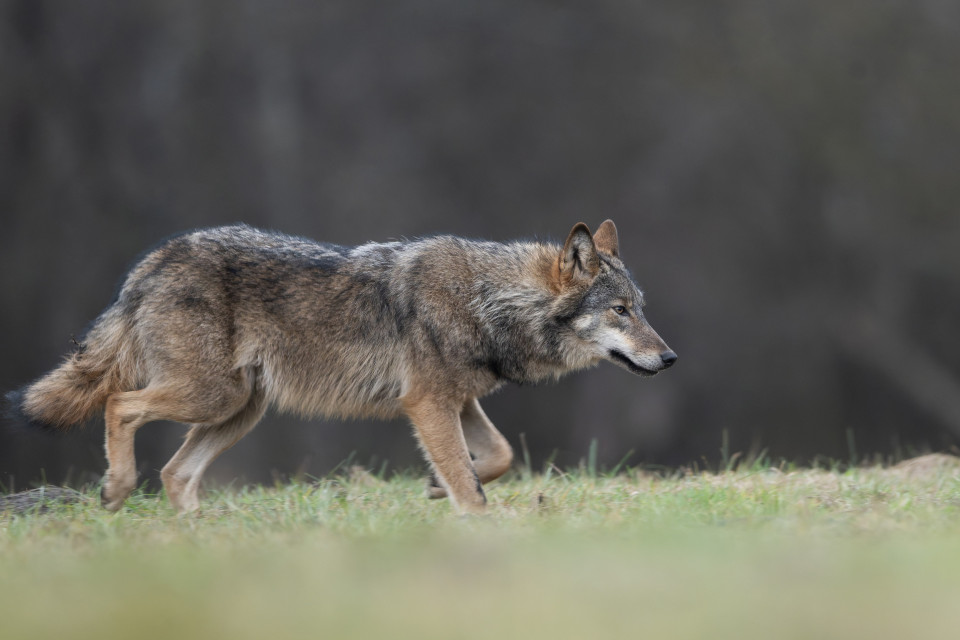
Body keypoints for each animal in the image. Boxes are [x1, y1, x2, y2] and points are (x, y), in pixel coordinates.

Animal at [6, 220, 676, 515]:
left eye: (641, 308)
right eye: (620, 311)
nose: (670, 358)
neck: (490, 300)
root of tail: (152, 261)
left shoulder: (457, 401)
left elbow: (498, 455)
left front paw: (436, 486)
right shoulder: (427, 403)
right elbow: (472, 482)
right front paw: (470, 511)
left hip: (239, 411)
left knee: (175, 472)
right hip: (211, 397)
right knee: (119, 405)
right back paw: (117, 489)